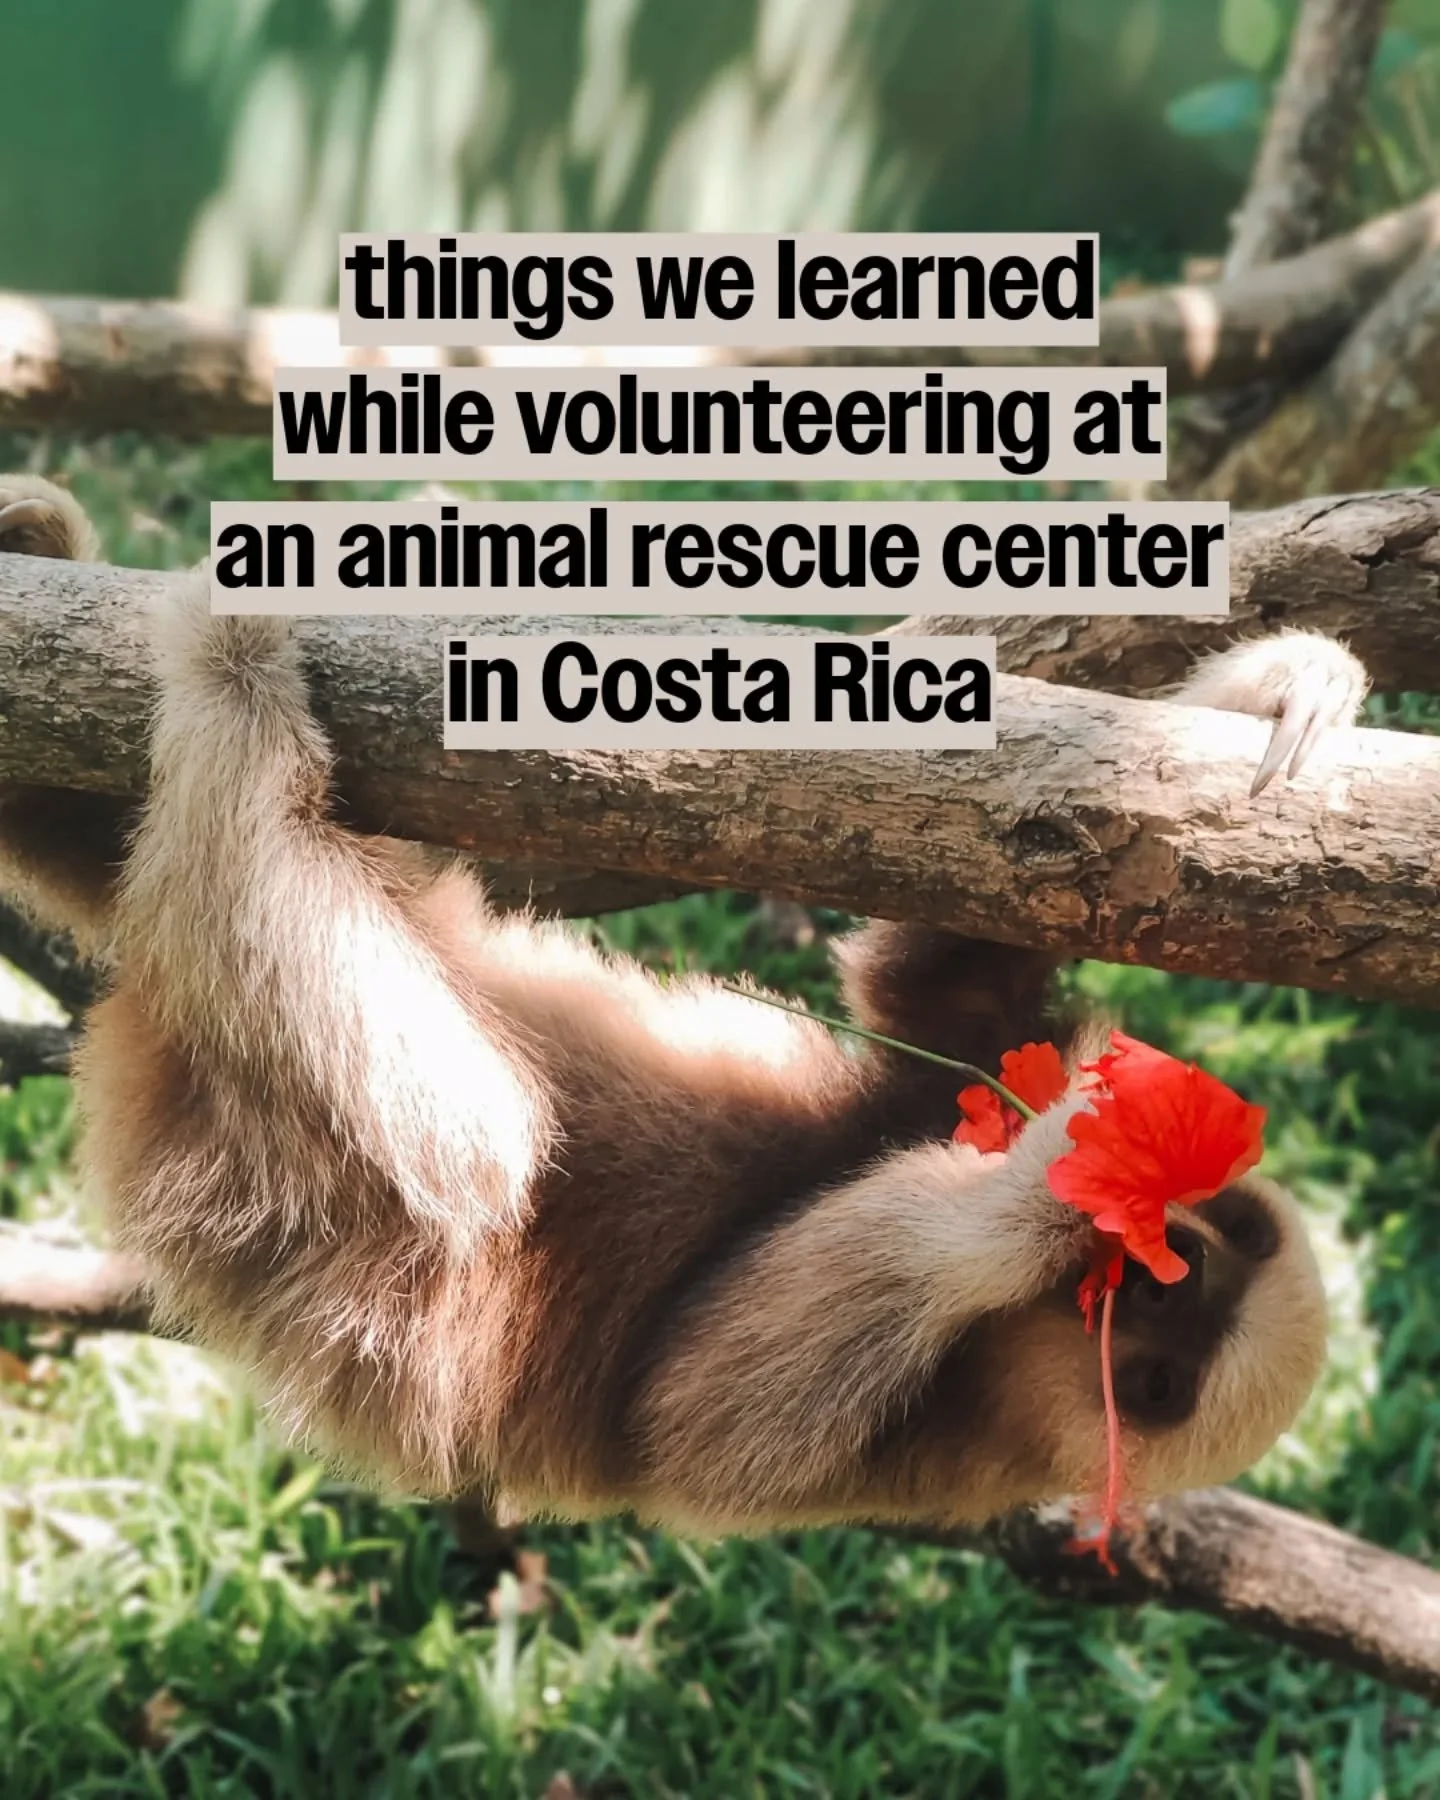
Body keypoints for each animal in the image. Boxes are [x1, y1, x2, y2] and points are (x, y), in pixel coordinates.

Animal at [0, 474, 1365, 1535]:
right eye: (1217, 1238)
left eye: (1162, 1368)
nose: (1168, 1253)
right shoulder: (970, 1051)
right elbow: (946, 956)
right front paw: (1272, 684)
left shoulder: (886, 1454)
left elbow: (702, 1401)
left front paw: (1045, 1187)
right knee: (117, 852)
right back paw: (49, 551)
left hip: (328, 1104)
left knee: (457, 1130)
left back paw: (229, 663)